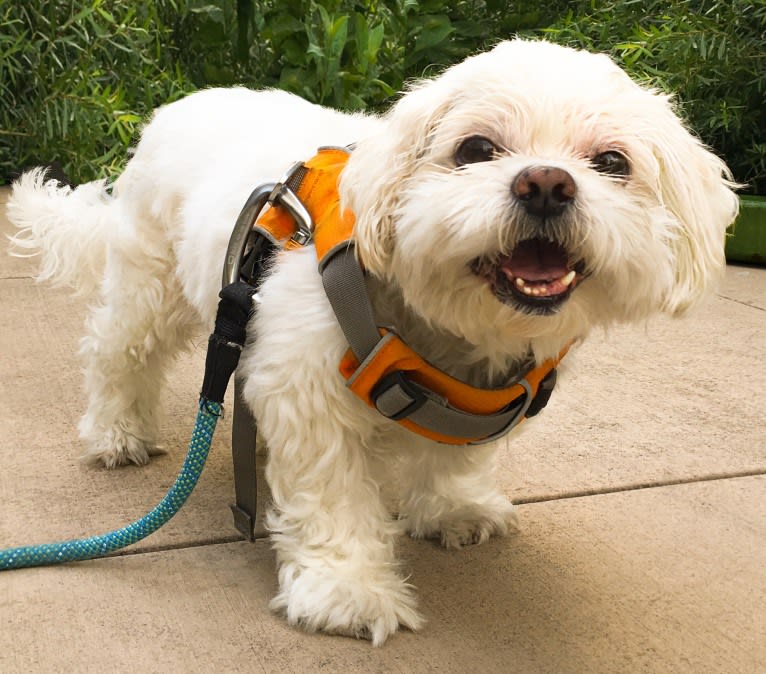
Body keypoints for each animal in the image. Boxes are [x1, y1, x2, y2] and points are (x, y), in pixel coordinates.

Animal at [6, 39, 736, 644]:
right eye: (475, 149)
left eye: (612, 162)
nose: (547, 184)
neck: (448, 331)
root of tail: (186, 100)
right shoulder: (307, 387)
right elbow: (331, 496)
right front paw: (346, 589)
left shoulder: (476, 402)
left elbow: (452, 459)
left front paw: (450, 508)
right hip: (150, 284)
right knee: (118, 352)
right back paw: (116, 433)